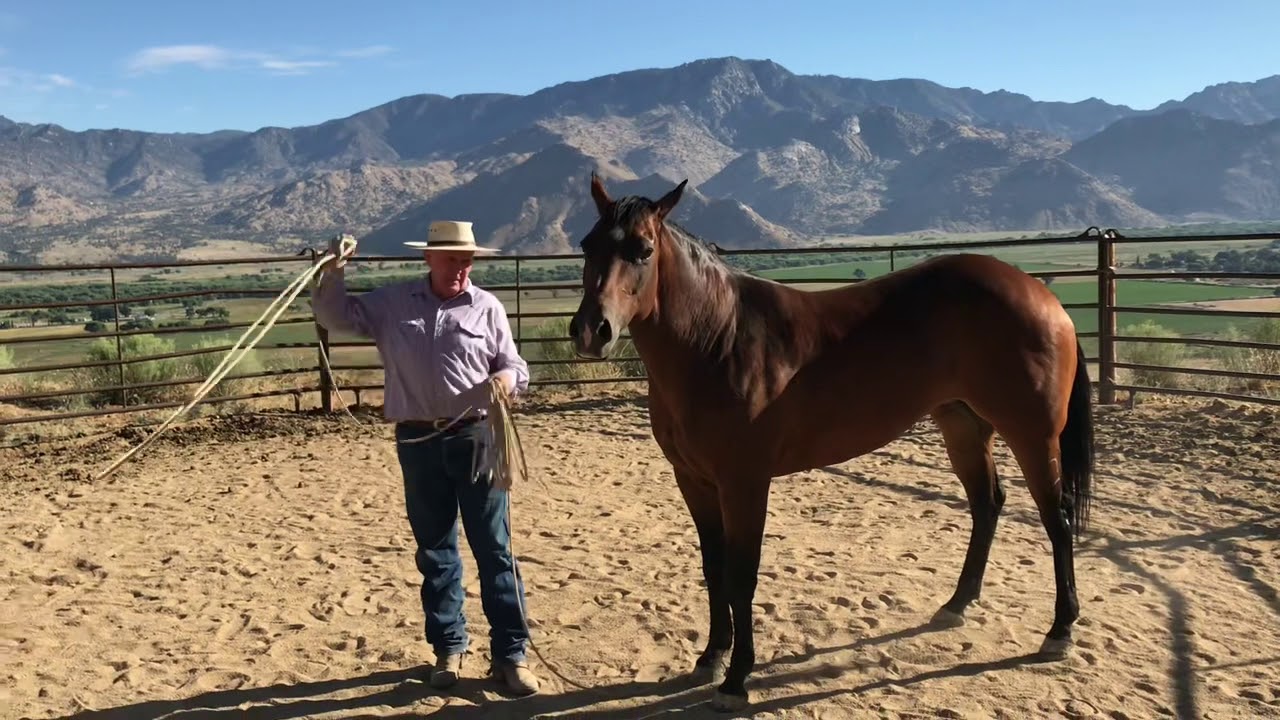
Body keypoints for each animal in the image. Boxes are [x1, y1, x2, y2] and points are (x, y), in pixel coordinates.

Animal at [567, 173, 1096, 712]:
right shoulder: (693, 480)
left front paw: (736, 680)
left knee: (1056, 521)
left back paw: (1059, 631)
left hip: (1033, 436)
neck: (718, 338)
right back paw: (956, 605)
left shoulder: (744, 483)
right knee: (988, 504)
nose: (591, 331)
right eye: (588, 245)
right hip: (963, 427)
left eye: (643, 249)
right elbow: (714, 568)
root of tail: (1042, 296)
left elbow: (742, 575)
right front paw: (711, 657)